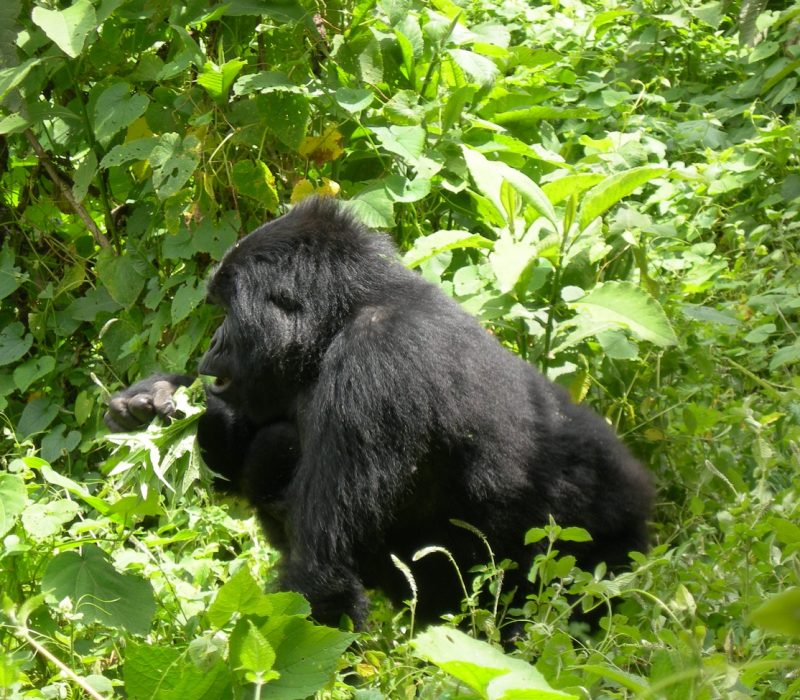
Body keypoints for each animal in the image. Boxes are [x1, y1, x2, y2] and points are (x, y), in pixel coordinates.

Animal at [106, 197, 652, 628]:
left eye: (227, 312)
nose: (214, 343)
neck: (341, 315)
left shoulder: (374, 367)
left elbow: (321, 574)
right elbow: (240, 452)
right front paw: (150, 401)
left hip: (595, 554)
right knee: (273, 447)